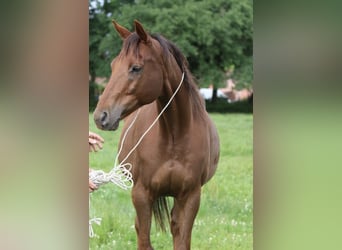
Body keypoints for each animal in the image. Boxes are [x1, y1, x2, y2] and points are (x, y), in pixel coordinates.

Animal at [93, 20, 219, 250]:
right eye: (113, 66)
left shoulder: (190, 197)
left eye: (136, 68)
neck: (175, 135)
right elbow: (144, 239)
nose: (101, 116)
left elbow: (182, 240)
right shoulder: (141, 194)